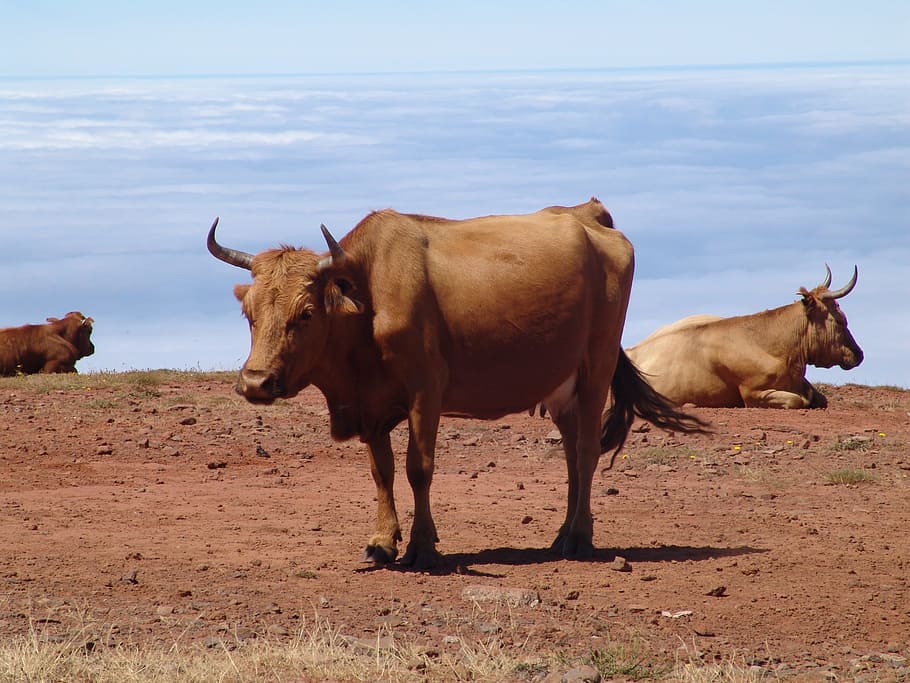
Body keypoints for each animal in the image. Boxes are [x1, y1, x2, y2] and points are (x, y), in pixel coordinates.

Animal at [207, 200, 706, 568]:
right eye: (248, 312)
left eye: (306, 313)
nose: (256, 382)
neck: (368, 297)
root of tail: (588, 214)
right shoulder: (371, 407)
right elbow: (382, 471)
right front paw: (382, 541)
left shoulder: (426, 391)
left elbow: (418, 468)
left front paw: (421, 546)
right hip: (562, 388)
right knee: (571, 457)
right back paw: (562, 534)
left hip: (595, 370)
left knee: (586, 450)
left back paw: (580, 538)